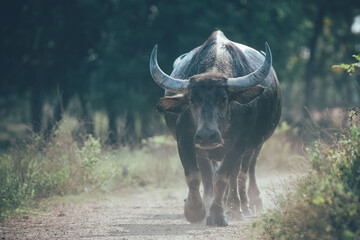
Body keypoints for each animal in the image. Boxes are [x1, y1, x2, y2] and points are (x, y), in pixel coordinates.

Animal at [148, 30, 282, 227]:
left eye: (223, 99)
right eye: (192, 100)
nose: (207, 136)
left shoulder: (239, 144)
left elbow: (223, 178)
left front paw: (219, 215)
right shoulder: (186, 140)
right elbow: (196, 176)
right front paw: (195, 210)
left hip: (256, 145)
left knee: (243, 173)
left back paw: (243, 206)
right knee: (214, 175)